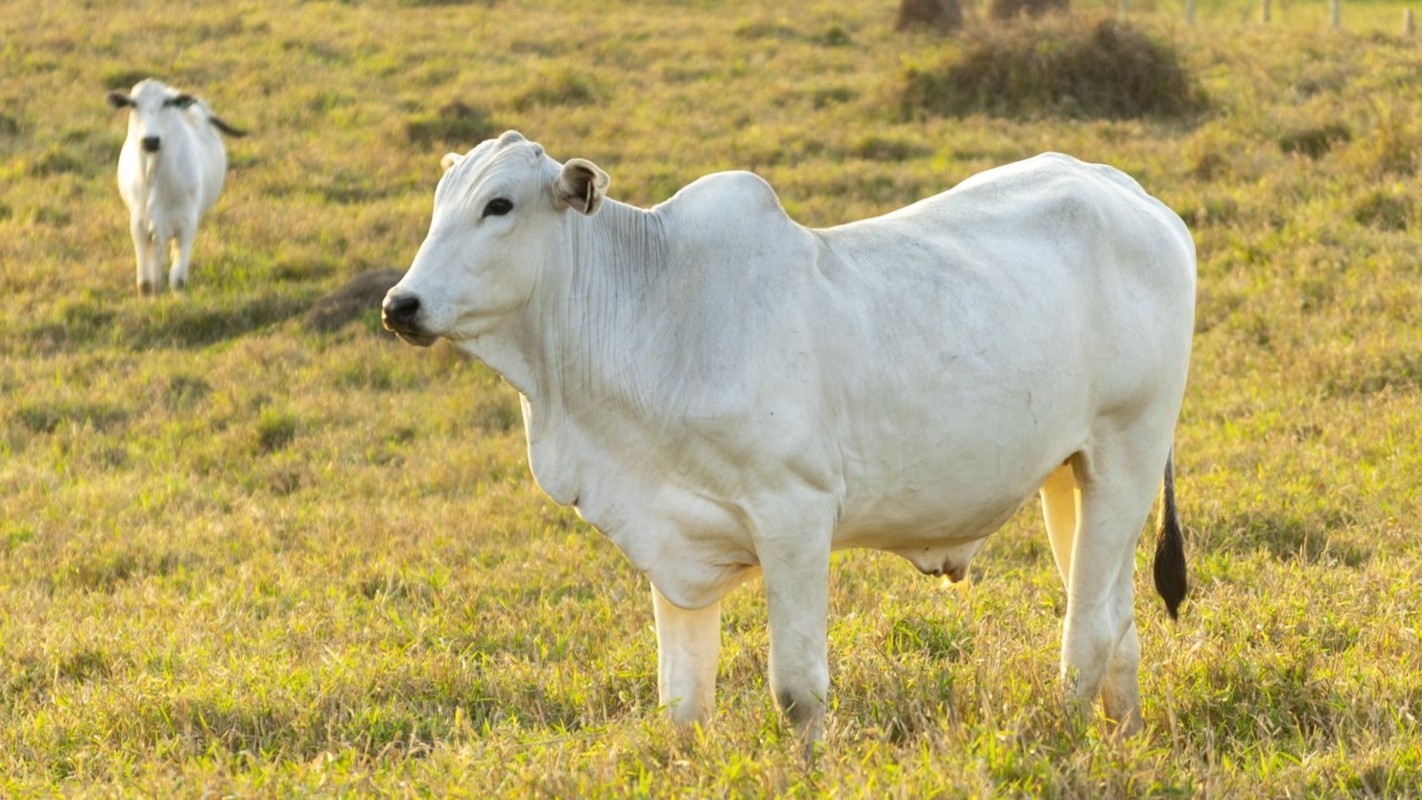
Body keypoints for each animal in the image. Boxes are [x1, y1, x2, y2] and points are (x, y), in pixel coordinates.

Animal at [107, 79, 244, 296]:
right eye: (133, 104)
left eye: (167, 103)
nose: (151, 140)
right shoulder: (138, 224)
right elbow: (145, 283)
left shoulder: (187, 224)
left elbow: (178, 280)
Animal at [381, 130, 1200, 750]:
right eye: (439, 205)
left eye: (499, 205)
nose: (400, 304)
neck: (654, 312)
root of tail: (1127, 191)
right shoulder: (670, 537)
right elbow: (682, 704)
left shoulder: (795, 516)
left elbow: (797, 692)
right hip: (1070, 474)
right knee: (1118, 623)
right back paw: (1126, 737)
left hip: (1128, 451)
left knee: (1090, 631)